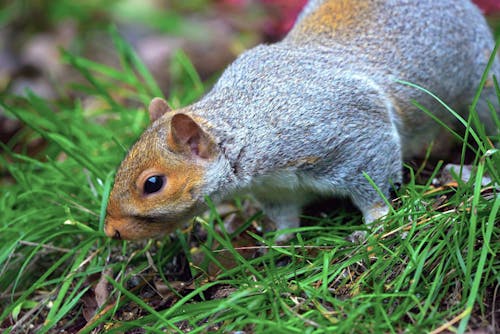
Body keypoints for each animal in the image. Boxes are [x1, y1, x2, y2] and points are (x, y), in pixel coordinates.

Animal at [103, 0, 498, 240]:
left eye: (153, 184)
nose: (111, 232)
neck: (249, 125)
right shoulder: (275, 190)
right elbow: (285, 216)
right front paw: (277, 242)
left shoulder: (347, 133)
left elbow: (372, 178)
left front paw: (377, 222)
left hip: (483, 86)